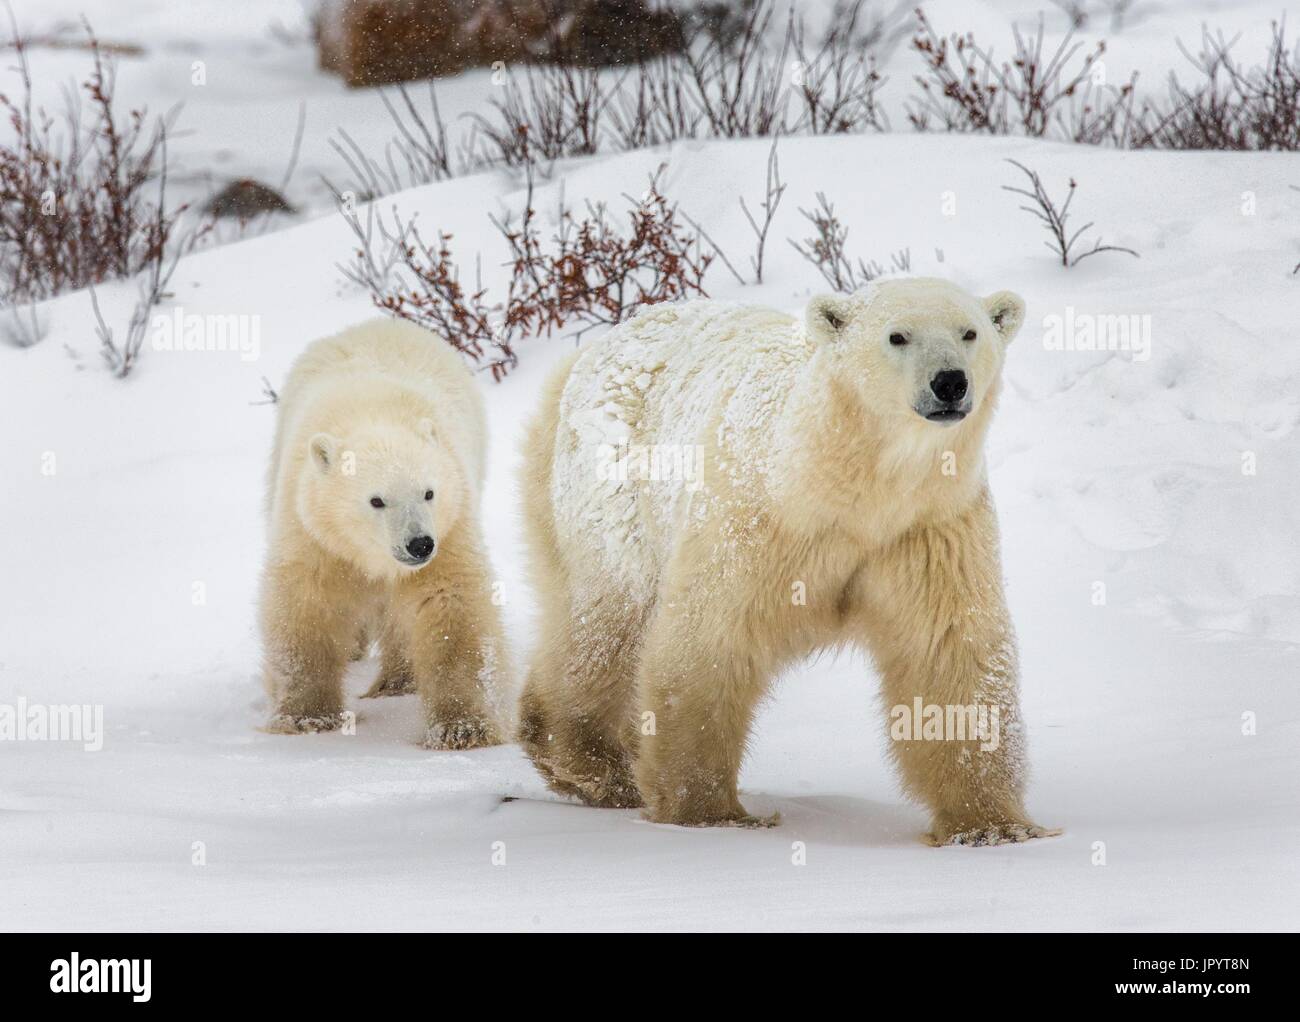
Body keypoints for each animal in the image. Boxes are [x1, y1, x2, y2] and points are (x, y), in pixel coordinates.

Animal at [517, 278, 1055, 842]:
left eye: (969, 332)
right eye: (897, 335)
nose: (950, 382)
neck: (851, 487)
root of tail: (586, 355)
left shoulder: (928, 529)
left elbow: (947, 649)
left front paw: (991, 825)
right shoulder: (762, 521)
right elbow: (712, 638)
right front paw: (709, 810)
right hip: (613, 489)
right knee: (606, 620)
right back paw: (592, 764)